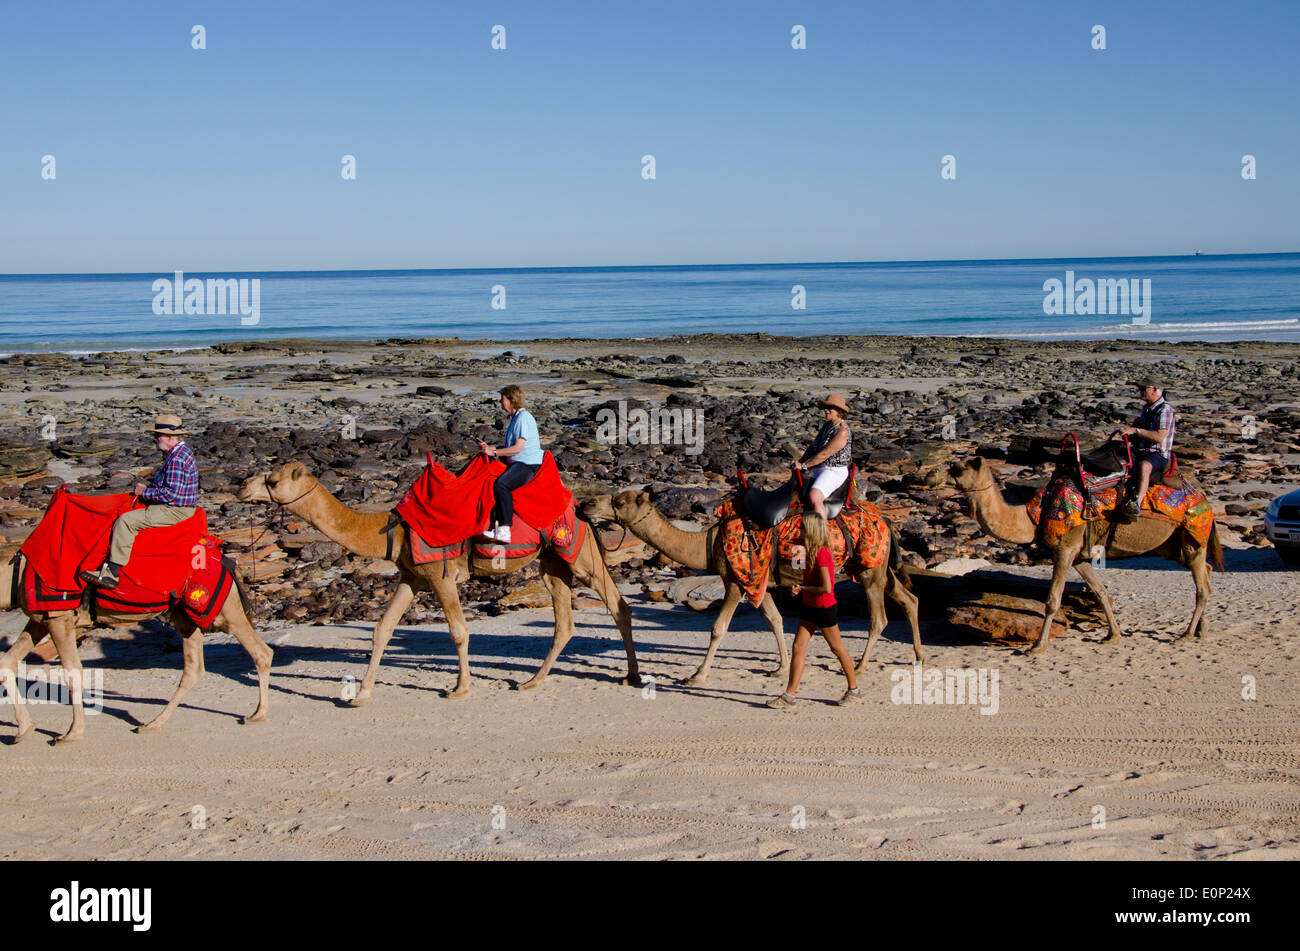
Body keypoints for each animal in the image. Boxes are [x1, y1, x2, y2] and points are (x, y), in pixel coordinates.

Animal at [0, 548, 271, 745]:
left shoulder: (59, 617)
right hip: (187, 618)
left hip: (223, 612)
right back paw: (152, 724)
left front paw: (71, 734)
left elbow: (73, 671)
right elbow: (7, 663)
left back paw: (257, 715)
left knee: (261, 652)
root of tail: (228, 564)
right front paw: (23, 730)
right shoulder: (41, 619)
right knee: (194, 669)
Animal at [238, 462, 639, 701]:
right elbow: (383, 628)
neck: (393, 531)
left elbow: (459, 631)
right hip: (553, 561)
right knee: (566, 622)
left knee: (618, 605)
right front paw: (361, 694)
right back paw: (532, 681)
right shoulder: (411, 577)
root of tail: (577, 505)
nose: (241, 486)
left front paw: (460, 688)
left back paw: (631, 676)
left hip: (579, 551)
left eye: (272, 480)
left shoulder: (441, 575)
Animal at [583, 489, 925, 686]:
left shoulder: (736, 581)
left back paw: (860, 665)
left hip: (869, 568)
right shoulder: (760, 583)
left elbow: (718, 628)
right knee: (909, 599)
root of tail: (885, 521)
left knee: (879, 617)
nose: (587, 503)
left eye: (619, 501)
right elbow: (775, 620)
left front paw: (697, 676)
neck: (708, 543)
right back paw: (920, 656)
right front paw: (780, 668)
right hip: (876, 566)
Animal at [948, 456, 1224, 654]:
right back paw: (1202, 629)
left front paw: (1037, 647)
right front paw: (1113, 635)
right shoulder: (1080, 556)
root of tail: (1205, 502)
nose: (948, 468)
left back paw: (1186, 635)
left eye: (961, 468)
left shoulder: (1065, 548)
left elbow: (1053, 599)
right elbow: (1099, 591)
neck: (1034, 515)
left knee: (1202, 586)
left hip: (1192, 534)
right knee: (1205, 571)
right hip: (1173, 545)